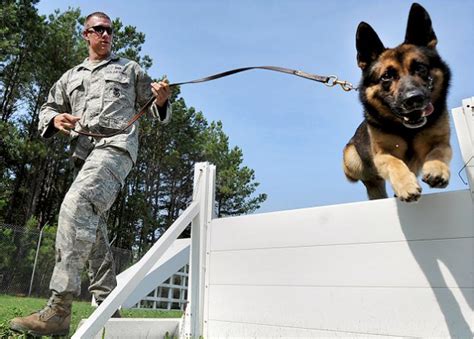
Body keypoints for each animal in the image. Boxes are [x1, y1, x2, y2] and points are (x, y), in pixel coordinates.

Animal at [342, 2, 450, 203]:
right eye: (386, 76)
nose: (413, 99)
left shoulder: (440, 141)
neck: (406, 130)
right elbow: (395, 162)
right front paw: (406, 185)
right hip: (351, 158)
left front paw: (437, 168)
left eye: (420, 68)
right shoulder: (382, 154)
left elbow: (438, 151)